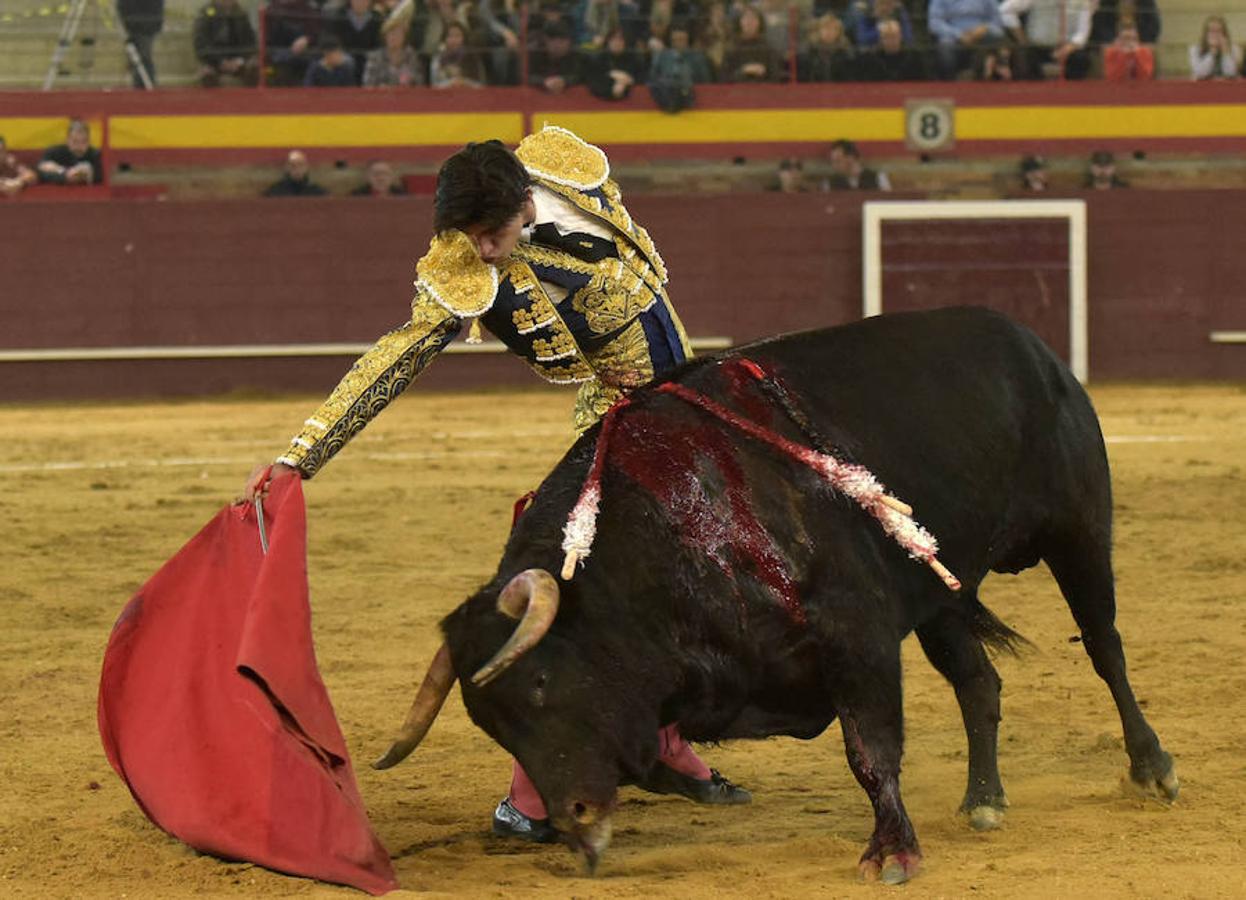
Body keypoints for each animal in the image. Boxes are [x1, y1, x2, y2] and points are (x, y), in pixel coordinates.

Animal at [371, 305, 1176, 877]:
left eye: (540, 683)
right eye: (493, 726)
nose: (576, 821)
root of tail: (1029, 344)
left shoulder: (857, 633)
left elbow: (870, 749)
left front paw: (892, 853)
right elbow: (655, 762)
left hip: (1078, 531)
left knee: (1105, 647)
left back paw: (1152, 768)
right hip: (940, 594)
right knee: (979, 683)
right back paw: (984, 801)